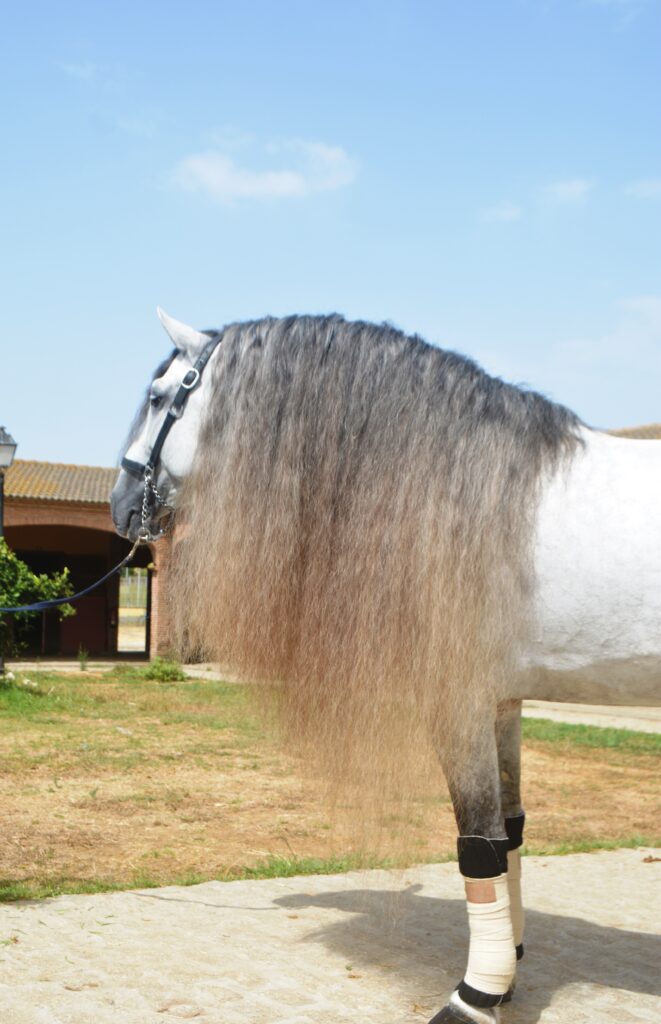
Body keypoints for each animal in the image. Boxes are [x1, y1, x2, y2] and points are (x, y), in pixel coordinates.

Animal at [111, 308, 661, 1024]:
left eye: (157, 398)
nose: (120, 505)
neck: (469, 491)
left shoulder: (457, 701)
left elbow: (478, 844)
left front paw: (473, 996)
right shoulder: (502, 701)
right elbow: (510, 832)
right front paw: (508, 972)